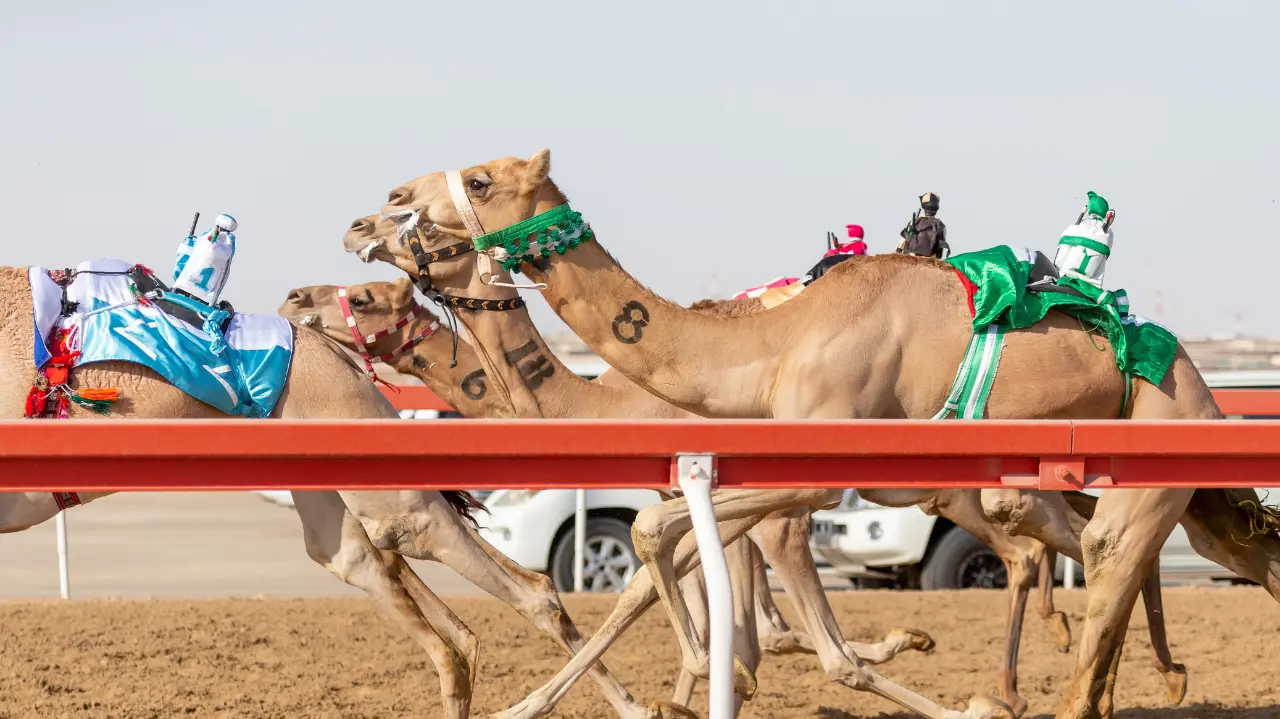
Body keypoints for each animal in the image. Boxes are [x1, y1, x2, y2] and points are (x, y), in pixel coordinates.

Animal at [0, 265, 671, 719]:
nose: (297, 295)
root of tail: (333, 354)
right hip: (334, 503)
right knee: (439, 622)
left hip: (384, 488)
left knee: (514, 597)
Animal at [361, 150, 1280, 719]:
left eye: (479, 179)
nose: (384, 210)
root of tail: (1195, 374)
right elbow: (689, 575)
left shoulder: (811, 470)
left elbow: (671, 555)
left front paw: (690, 680)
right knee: (1172, 555)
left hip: (1156, 436)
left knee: (1104, 563)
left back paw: (1035, 690)